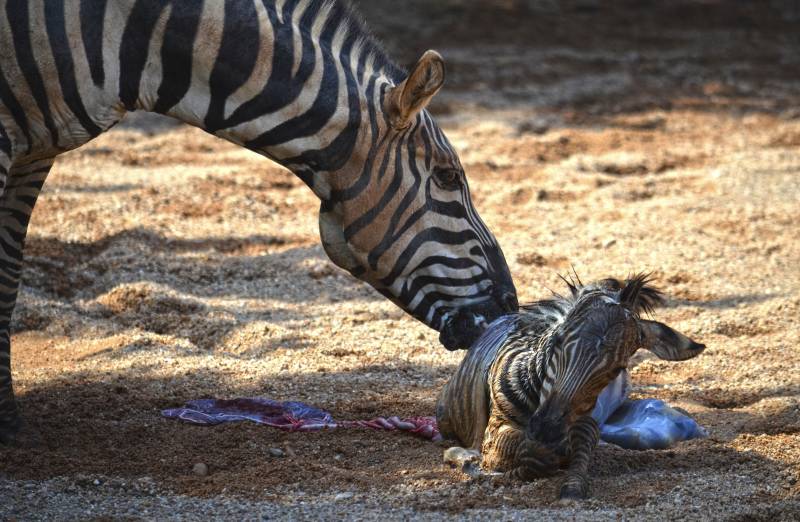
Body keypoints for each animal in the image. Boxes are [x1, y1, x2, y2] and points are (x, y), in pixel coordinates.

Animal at [438, 274, 708, 498]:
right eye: (557, 340)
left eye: (618, 369)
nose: (547, 430)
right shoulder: (494, 431)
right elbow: (524, 452)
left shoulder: (586, 419)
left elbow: (583, 439)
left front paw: (572, 484)